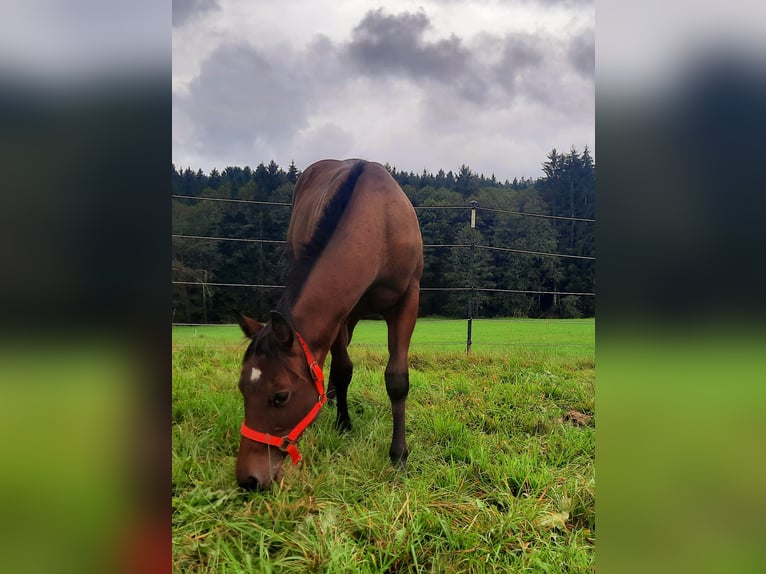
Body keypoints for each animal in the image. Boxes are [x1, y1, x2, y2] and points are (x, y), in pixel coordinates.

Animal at [236, 160, 424, 492]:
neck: (379, 224)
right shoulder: (340, 311)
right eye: (242, 388)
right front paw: (343, 423)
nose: (249, 479)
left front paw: (399, 456)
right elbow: (343, 368)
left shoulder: (407, 302)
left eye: (280, 396)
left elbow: (397, 380)